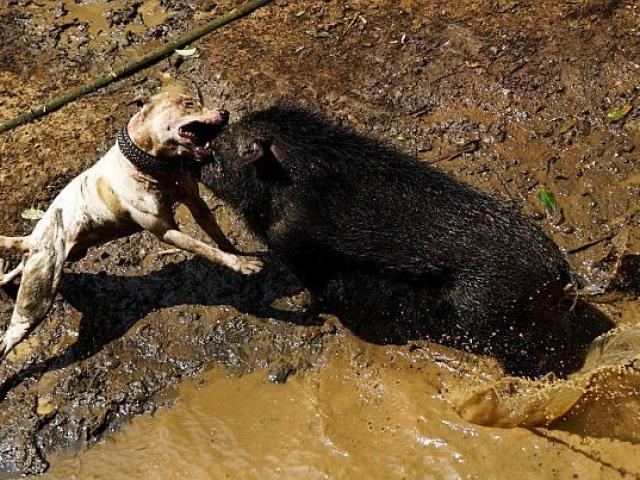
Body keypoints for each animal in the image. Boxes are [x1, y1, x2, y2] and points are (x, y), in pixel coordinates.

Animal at [0, 91, 262, 360]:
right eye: (189, 103)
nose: (225, 112)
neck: (154, 166)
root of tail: (32, 239)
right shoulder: (167, 231)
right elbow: (205, 248)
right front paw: (241, 264)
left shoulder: (196, 202)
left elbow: (218, 238)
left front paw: (239, 256)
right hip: (35, 304)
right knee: (8, 338)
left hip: (50, 261)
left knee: (18, 268)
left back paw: (5, 274)